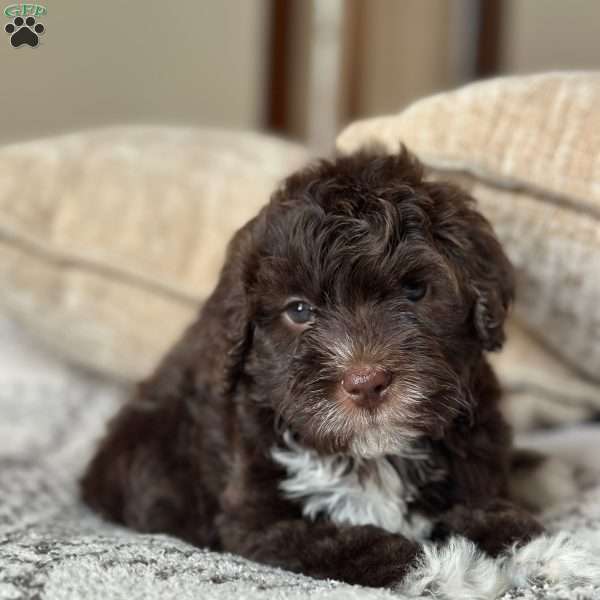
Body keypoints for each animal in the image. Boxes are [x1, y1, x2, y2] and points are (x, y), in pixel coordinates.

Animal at [81, 148, 544, 588]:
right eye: (299, 310)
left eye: (415, 291)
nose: (366, 382)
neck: (375, 455)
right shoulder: (259, 523)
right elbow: (349, 544)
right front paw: (452, 569)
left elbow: (500, 515)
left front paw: (527, 548)